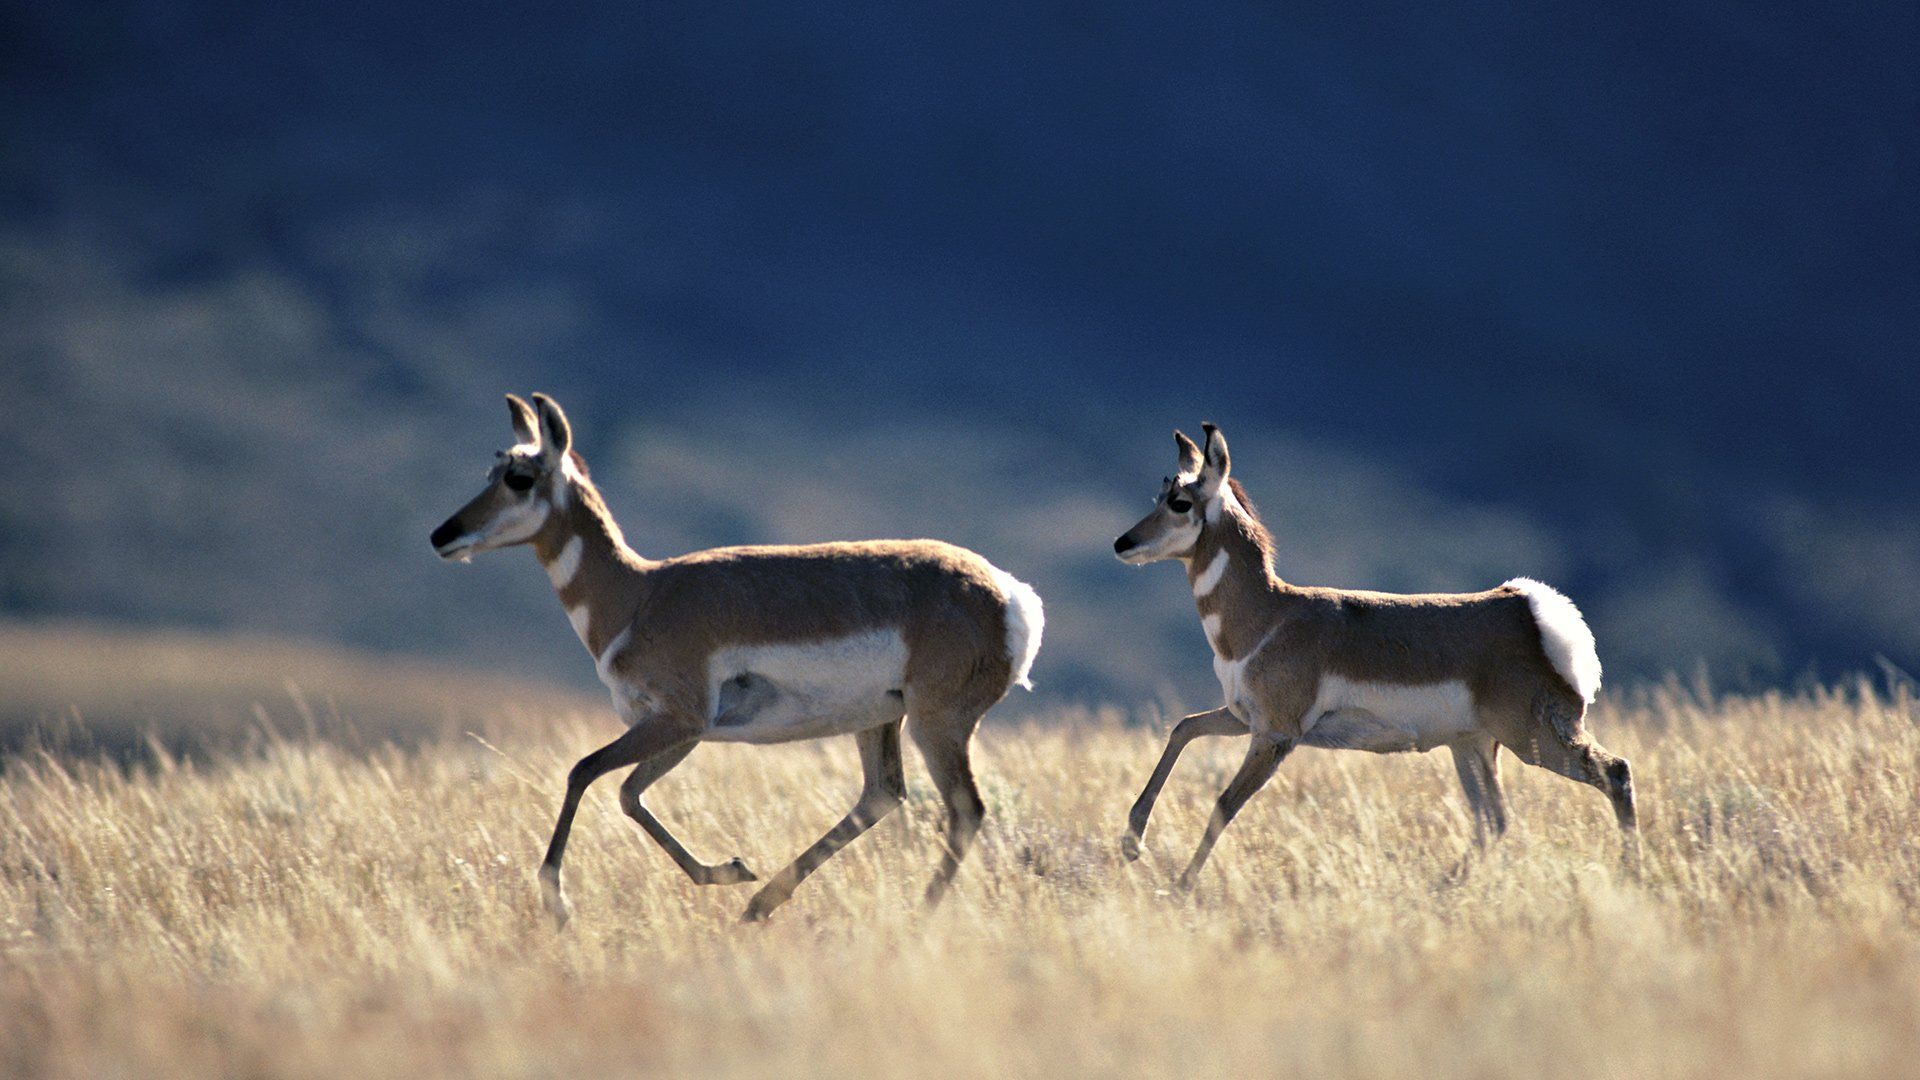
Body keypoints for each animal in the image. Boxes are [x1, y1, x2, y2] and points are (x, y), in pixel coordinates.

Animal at [430, 394, 1044, 925]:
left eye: (520, 477)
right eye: (492, 472)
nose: (442, 534)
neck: (639, 592)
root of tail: (1009, 591)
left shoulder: (677, 721)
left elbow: (583, 771)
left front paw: (557, 904)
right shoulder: (683, 731)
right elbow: (628, 794)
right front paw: (729, 870)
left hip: (934, 723)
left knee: (965, 809)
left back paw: (915, 917)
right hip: (878, 721)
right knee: (882, 795)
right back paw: (761, 902)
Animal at [1113, 424, 1636, 885]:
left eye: (1180, 502)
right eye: (1159, 495)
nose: (1123, 543)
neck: (1271, 613)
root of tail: (1523, 606)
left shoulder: (1275, 735)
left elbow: (1223, 803)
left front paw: (1181, 887)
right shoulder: (1244, 718)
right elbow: (1183, 728)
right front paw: (1131, 843)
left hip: (1533, 740)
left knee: (1615, 772)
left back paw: (1632, 873)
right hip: (1472, 745)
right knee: (1494, 819)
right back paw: (1441, 887)